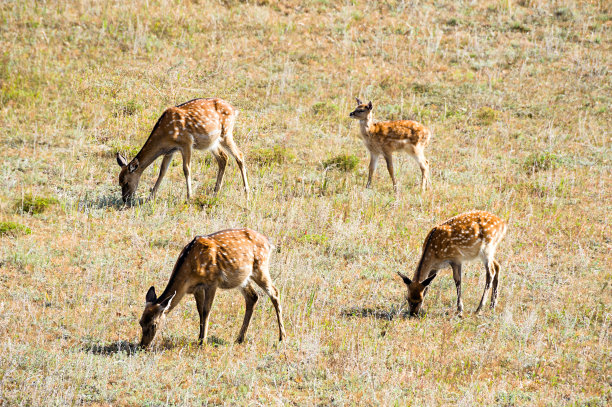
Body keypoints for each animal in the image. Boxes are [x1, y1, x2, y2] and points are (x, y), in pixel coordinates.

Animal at [115, 99, 249, 204]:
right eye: (119, 183)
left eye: (126, 182)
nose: (125, 199)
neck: (165, 135)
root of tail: (234, 110)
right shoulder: (170, 151)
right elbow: (162, 171)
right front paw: (150, 197)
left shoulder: (186, 143)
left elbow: (186, 169)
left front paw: (189, 197)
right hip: (212, 141)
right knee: (223, 158)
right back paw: (215, 192)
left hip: (226, 133)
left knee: (240, 155)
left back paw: (246, 193)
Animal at [137, 228, 286, 350]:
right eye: (140, 322)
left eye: (154, 324)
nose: (143, 345)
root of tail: (268, 242)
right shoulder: (196, 288)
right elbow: (199, 311)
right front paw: (199, 338)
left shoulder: (212, 282)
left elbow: (206, 310)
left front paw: (203, 342)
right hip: (243, 278)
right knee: (253, 297)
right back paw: (240, 338)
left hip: (260, 267)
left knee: (274, 292)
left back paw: (282, 337)